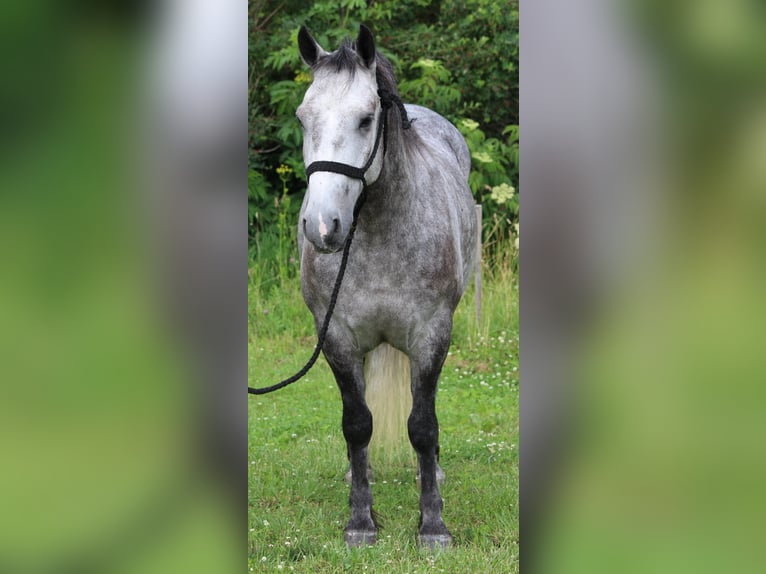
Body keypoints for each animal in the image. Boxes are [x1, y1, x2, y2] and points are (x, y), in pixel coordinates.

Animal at [295, 24, 477, 549]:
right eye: (302, 119)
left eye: (365, 119)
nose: (322, 226)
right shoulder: (336, 337)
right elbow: (357, 425)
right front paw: (360, 520)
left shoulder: (432, 336)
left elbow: (423, 426)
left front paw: (433, 525)